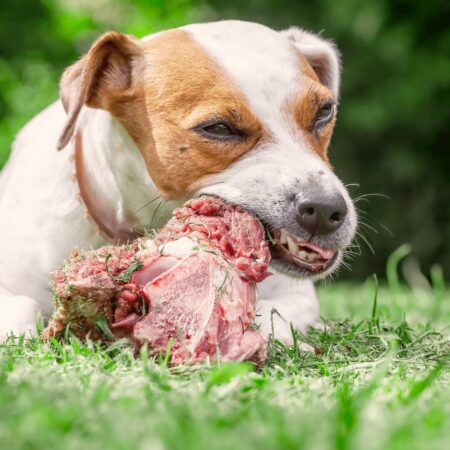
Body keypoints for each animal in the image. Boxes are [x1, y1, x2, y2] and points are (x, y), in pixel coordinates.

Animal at [0, 20, 356, 342]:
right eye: (219, 128)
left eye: (325, 111)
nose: (326, 210)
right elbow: (21, 307)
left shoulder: (295, 296)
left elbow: (269, 315)